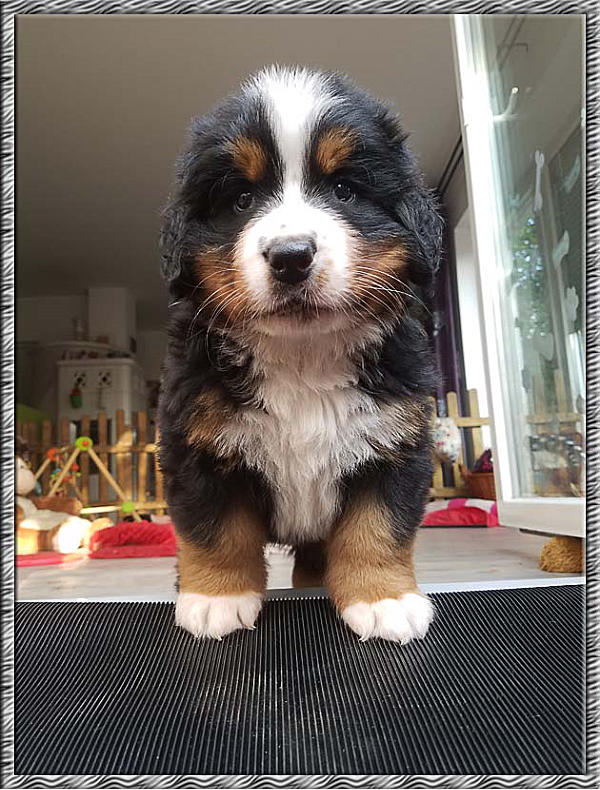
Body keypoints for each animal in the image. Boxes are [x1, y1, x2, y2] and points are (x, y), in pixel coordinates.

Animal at [158, 66, 442, 642]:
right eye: (241, 200)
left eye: (344, 189)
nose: (291, 256)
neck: (303, 357)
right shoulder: (193, 444)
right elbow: (214, 529)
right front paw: (216, 598)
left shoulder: (398, 443)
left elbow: (379, 526)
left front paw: (384, 599)